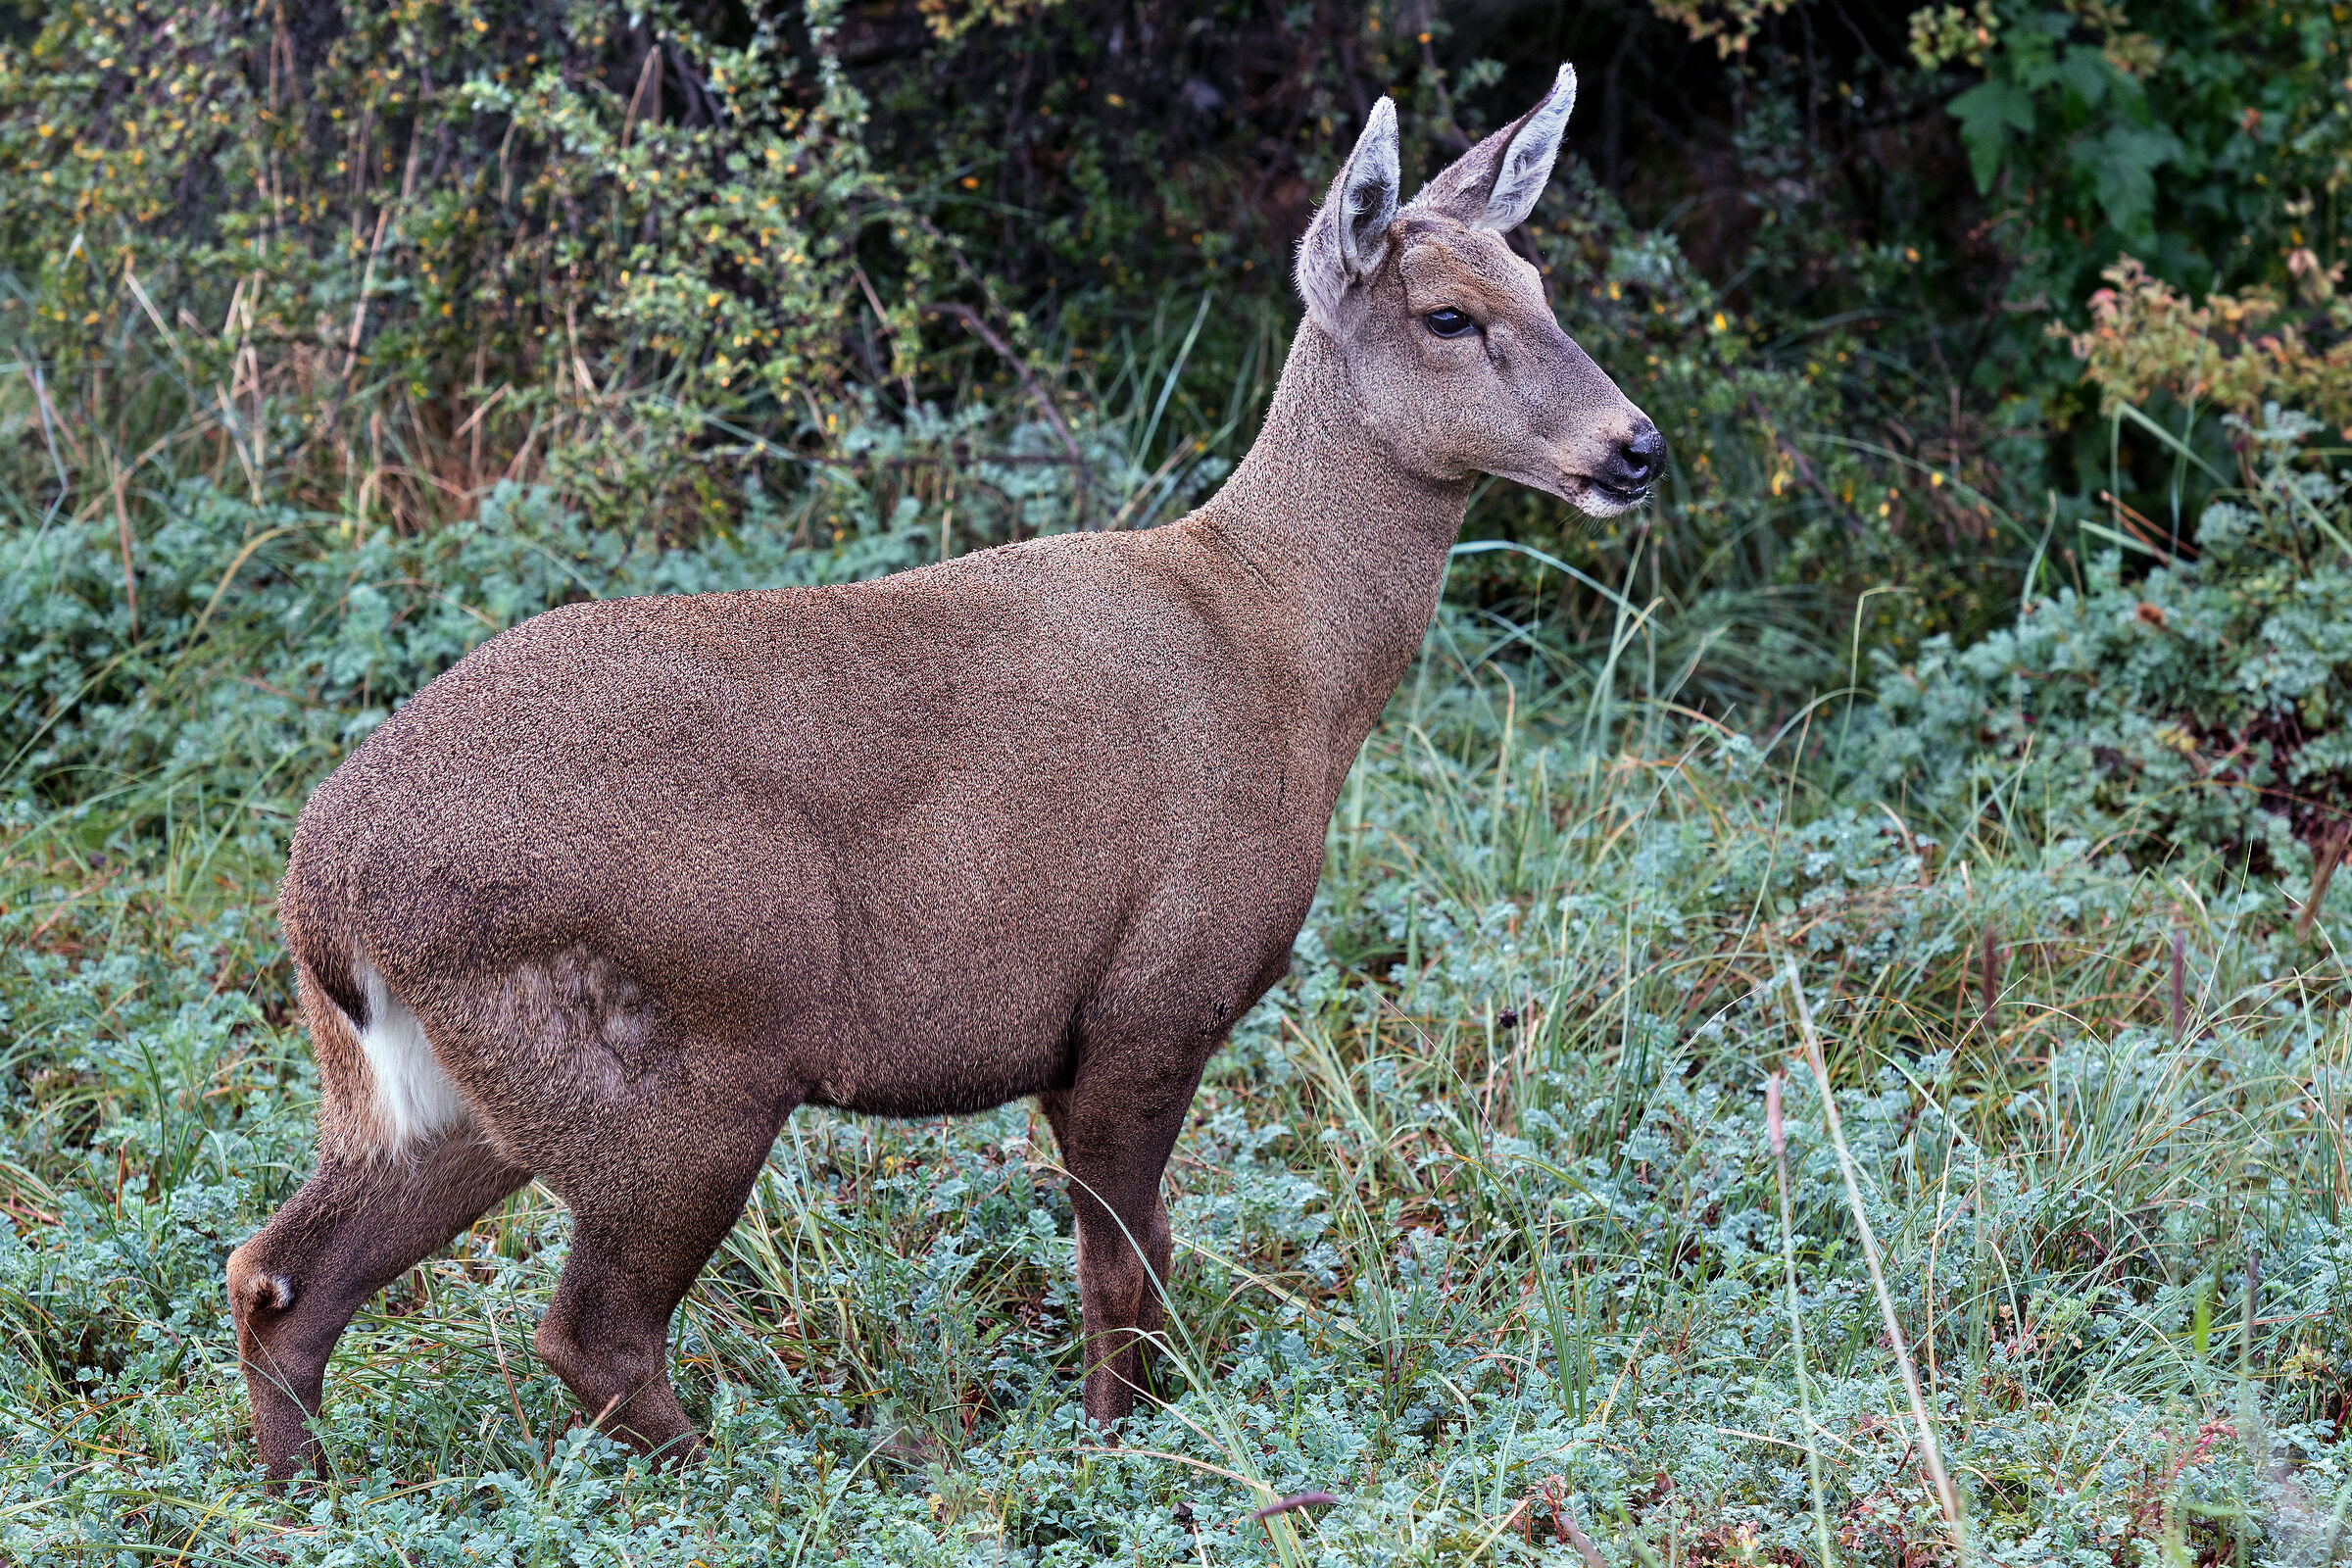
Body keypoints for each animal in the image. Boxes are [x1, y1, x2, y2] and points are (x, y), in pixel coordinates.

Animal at [225, 62, 1660, 1481]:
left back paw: (302, 1495)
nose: (1633, 445)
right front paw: (1113, 1457)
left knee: (278, 1275)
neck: (1283, 661)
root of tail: (320, 889)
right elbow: (1125, 1266)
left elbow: (1140, 1259)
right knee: (591, 1329)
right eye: (1448, 315)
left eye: (1540, 286)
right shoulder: (1147, 999)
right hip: (676, 1066)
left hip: (447, 1097)